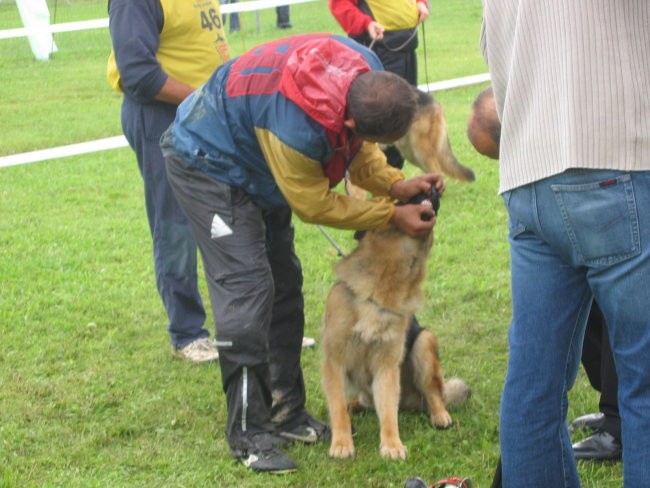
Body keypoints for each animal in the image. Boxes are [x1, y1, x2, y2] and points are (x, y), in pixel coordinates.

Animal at [320, 190, 468, 458]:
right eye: (398, 201)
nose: (434, 188)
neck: (381, 288)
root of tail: (411, 401)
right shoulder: (334, 362)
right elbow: (336, 406)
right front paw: (342, 442)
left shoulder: (387, 367)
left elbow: (389, 411)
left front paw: (392, 444)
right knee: (362, 403)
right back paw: (354, 405)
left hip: (424, 342)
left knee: (434, 394)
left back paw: (440, 414)